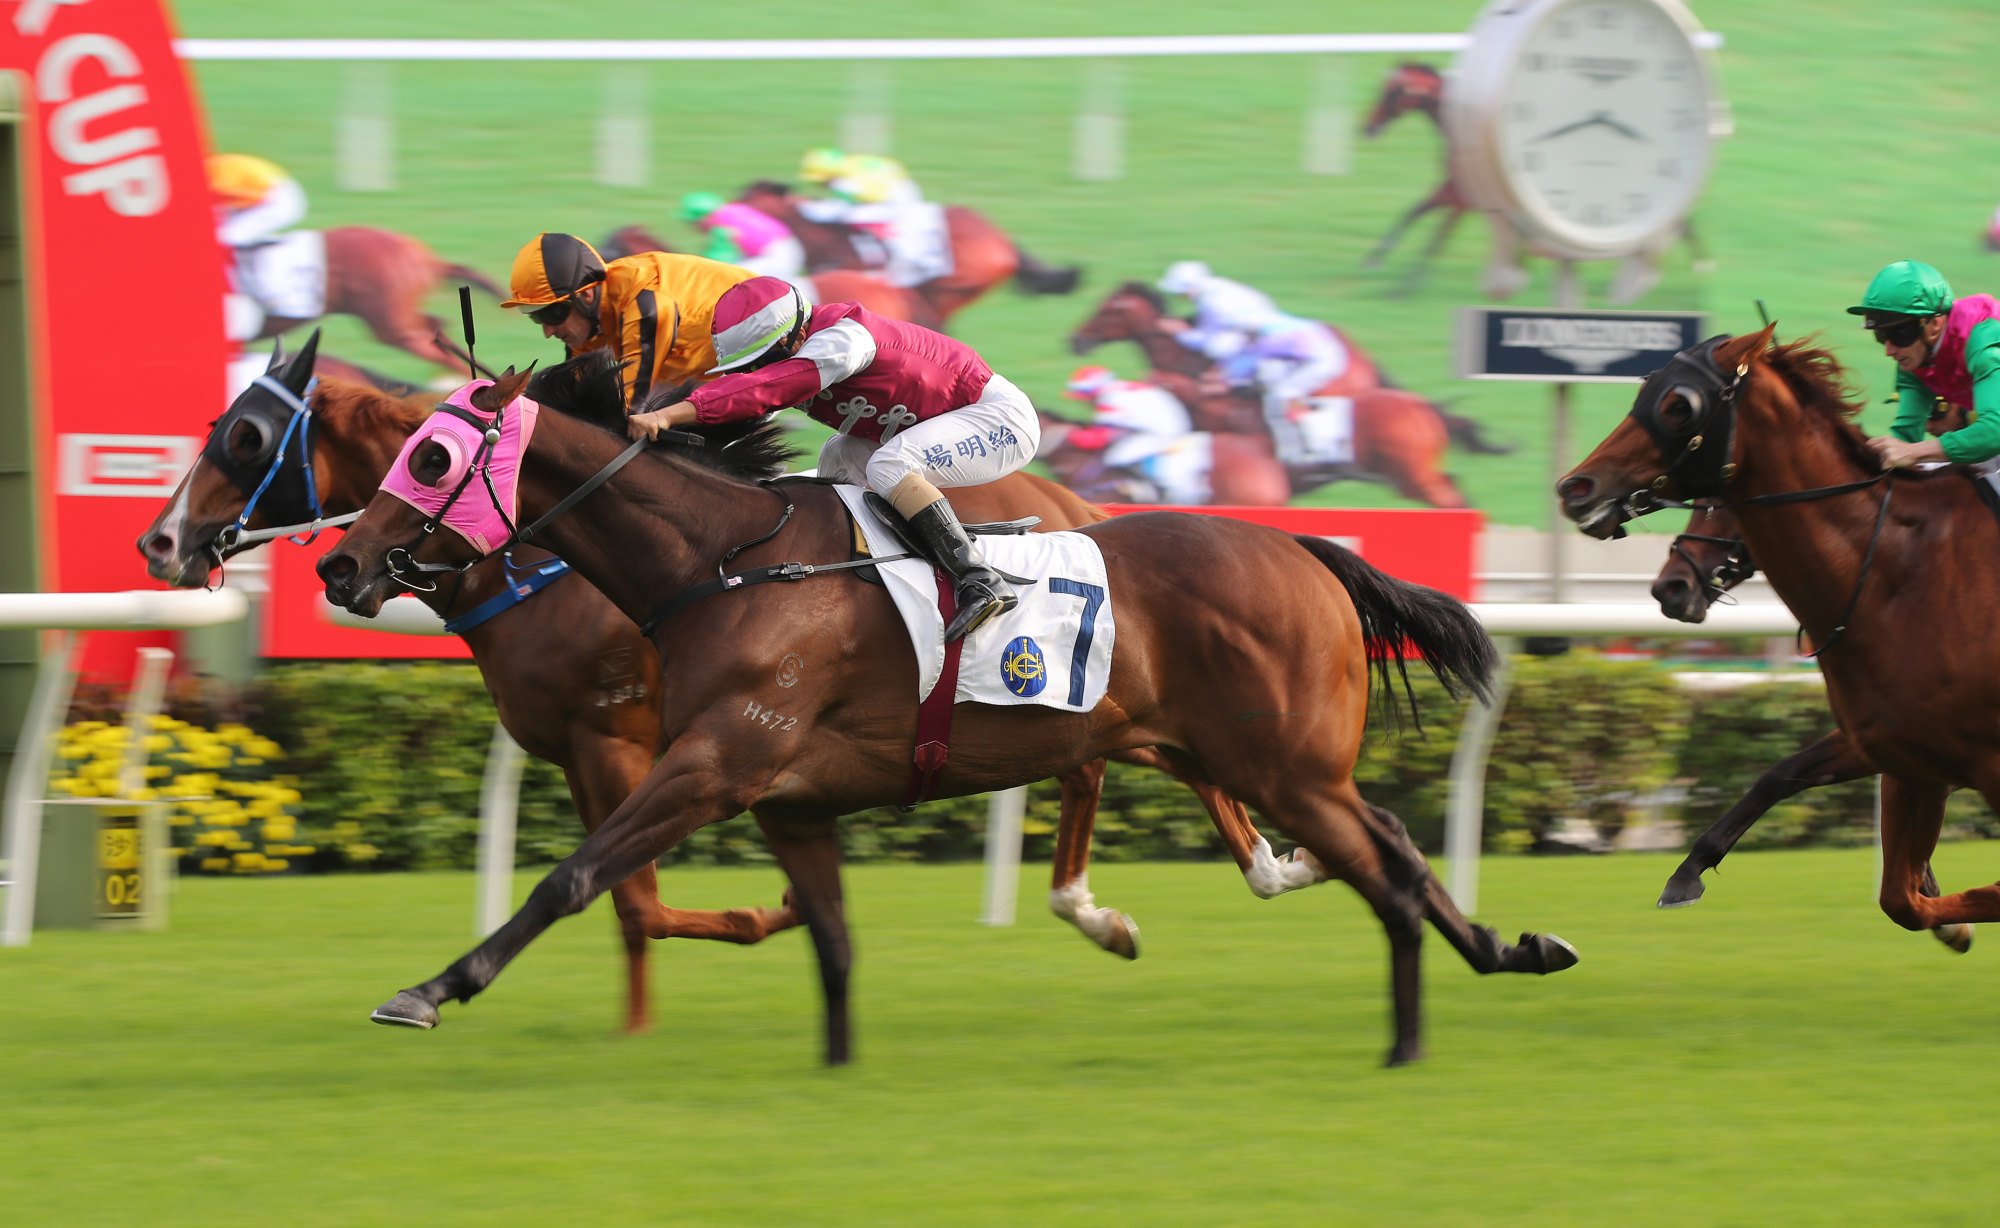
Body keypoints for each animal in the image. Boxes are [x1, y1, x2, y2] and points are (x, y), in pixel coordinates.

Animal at [324, 366, 1576, 1072]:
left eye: (428, 456)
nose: (341, 562)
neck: (723, 566)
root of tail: (1305, 551)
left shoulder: (714, 761)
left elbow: (571, 875)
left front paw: (428, 991)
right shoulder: (786, 802)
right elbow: (829, 939)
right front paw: (835, 1064)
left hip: (1284, 766)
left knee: (1384, 871)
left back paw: (1405, 1033)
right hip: (1264, 760)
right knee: (1395, 845)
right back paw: (1509, 947)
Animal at [1560, 328, 2000, 944]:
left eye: (1678, 406)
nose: (1574, 487)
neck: (1904, 573)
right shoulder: (1899, 751)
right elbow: (1787, 781)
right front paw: (1687, 872)